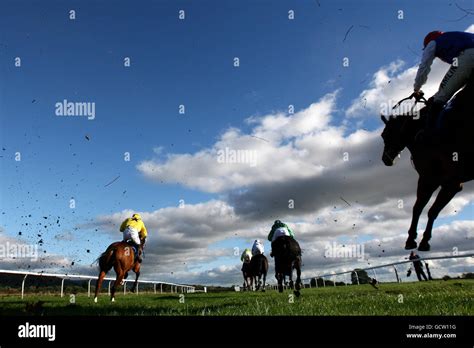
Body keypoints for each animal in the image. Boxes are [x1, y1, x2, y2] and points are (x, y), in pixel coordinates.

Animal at [382, 81, 474, 250]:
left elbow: (421, 208)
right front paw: (422, 239)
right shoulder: (450, 183)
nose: (385, 159)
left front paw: (413, 239)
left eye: (384, 135)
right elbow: (432, 210)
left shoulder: (433, 180)